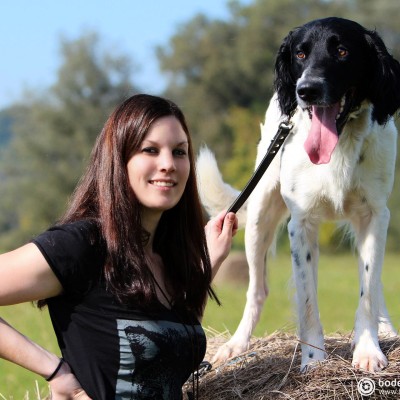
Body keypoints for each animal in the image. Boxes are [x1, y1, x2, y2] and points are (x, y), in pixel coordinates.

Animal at [198, 15, 400, 372]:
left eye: (342, 51)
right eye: (301, 54)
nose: (307, 90)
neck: (341, 142)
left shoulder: (375, 215)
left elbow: (368, 289)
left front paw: (368, 350)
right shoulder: (301, 223)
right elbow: (307, 301)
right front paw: (313, 360)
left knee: (374, 286)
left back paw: (386, 327)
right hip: (259, 218)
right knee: (257, 290)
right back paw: (236, 346)